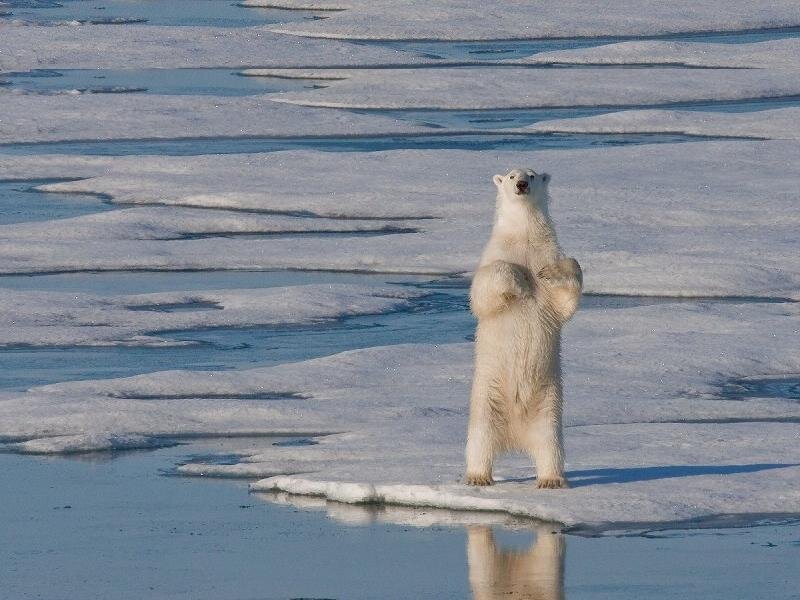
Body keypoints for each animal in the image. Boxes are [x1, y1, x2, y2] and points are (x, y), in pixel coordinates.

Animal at [465, 167, 582, 489]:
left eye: (532, 175)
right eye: (509, 175)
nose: (521, 185)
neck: (524, 239)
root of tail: (515, 438)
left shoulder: (547, 253)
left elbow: (566, 294)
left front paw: (551, 273)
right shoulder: (494, 253)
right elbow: (483, 292)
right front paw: (519, 279)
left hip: (548, 407)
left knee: (550, 445)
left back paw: (551, 479)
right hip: (487, 398)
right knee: (479, 440)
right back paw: (478, 476)